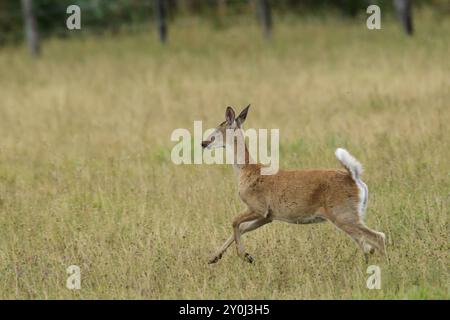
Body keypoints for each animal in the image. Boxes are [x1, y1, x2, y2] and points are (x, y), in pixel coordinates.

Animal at [201, 106, 386, 264]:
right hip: (351, 215)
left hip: (343, 214)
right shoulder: (268, 216)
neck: (247, 169)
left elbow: (234, 222)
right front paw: (213, 258)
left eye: (218, 130)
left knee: (377, 237)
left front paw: (246, 256)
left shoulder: (259, 208)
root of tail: (355, 178)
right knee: (367, 244)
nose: (203, 143)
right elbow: (242, 228)